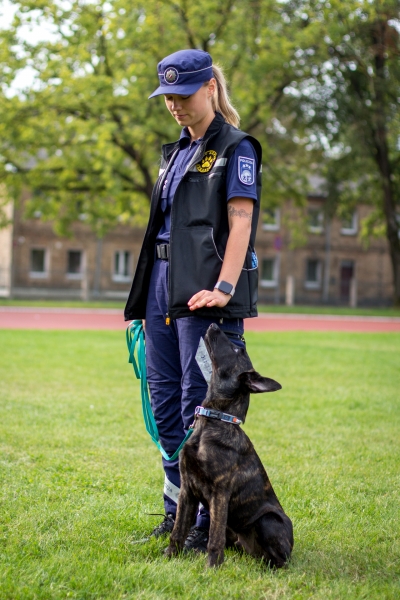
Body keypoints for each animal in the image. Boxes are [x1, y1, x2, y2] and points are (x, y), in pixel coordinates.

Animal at [166, 324, 294, 568]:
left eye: (237, 351)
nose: (214, 325)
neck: (215, 420)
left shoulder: (220, 493)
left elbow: (213, 540)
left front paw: (212, 569)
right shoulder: (187, 490)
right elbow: (177, 532)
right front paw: (167, 559)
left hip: (267, 519)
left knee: (281, 561)